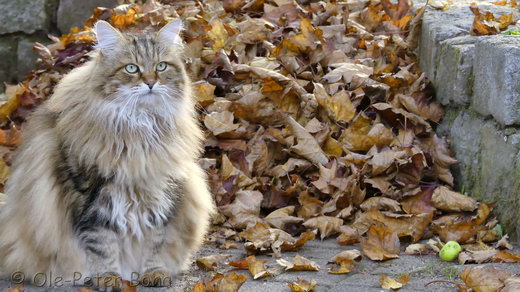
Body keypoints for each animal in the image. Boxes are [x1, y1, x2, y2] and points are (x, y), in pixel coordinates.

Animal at [0, 20, 214, 288]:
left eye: (161, 66)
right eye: (132, 68)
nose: (151, 83)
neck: (140, 127)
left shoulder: (160, 189)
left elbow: (154, 242)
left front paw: (153, 273)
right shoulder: (90, 199)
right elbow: (101, 245)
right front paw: (108, 278)